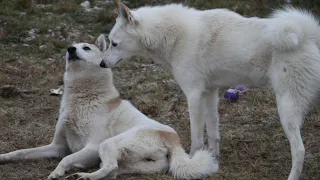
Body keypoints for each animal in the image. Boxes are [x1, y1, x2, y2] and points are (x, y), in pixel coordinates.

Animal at [0, 34, 218, 179]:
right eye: (72, 47)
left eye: (86, 48)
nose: (70, 49)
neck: (83, 97)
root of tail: (174, 140)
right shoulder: (57, 147)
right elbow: (22, 152)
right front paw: (4, 157)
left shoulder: (92, 147)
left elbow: (66, 159)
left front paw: (57, 172)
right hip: (133, 162)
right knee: (113, 170)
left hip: (108, 144)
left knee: (110, 166)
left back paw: (83, 176)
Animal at [101, 0, 320, 179]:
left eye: (114, 43)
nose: (102, 64)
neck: (174, 36)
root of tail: (308, 34)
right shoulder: (210, 93)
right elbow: (213, 132)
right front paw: (213, 160)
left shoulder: (194, 96)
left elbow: (197, 138)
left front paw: (191, 162)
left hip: (286, 108)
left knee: (299, 150)